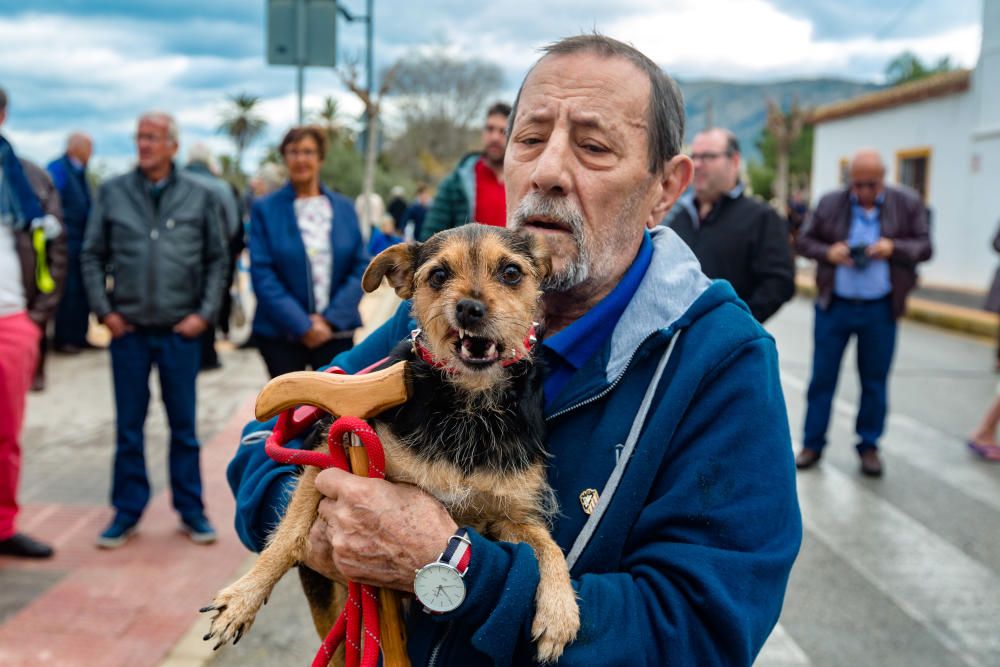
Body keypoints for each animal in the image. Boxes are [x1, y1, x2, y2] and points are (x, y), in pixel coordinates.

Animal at [203, 227, 580, 664]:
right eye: (438, 275)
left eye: (511, 272)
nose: (469, 309)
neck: (469, 406)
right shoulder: (334, 450)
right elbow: (289, 533)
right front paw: (244, 596)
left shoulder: (510, 514)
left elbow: (548, 545)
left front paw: (560, 611)